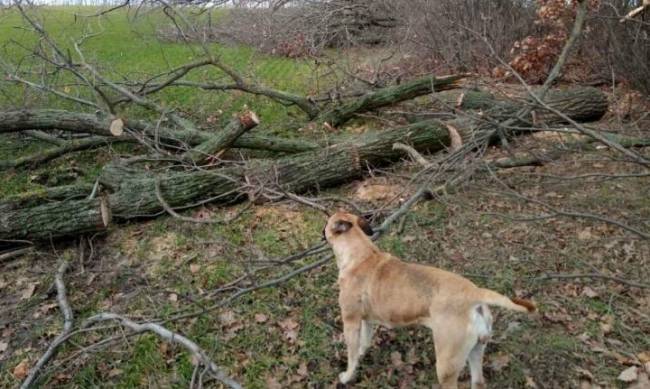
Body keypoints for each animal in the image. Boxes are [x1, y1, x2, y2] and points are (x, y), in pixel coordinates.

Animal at [322, 211, 536, 386]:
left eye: (327, 221)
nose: (321, 231)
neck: (361, 255)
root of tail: (474, 294)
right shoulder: (366, 320)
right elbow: (363, 344)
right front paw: (361, 356)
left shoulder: (350, 322)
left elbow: (351, 354)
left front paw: (347, 376)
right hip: (476, 352)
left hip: (446, 364)